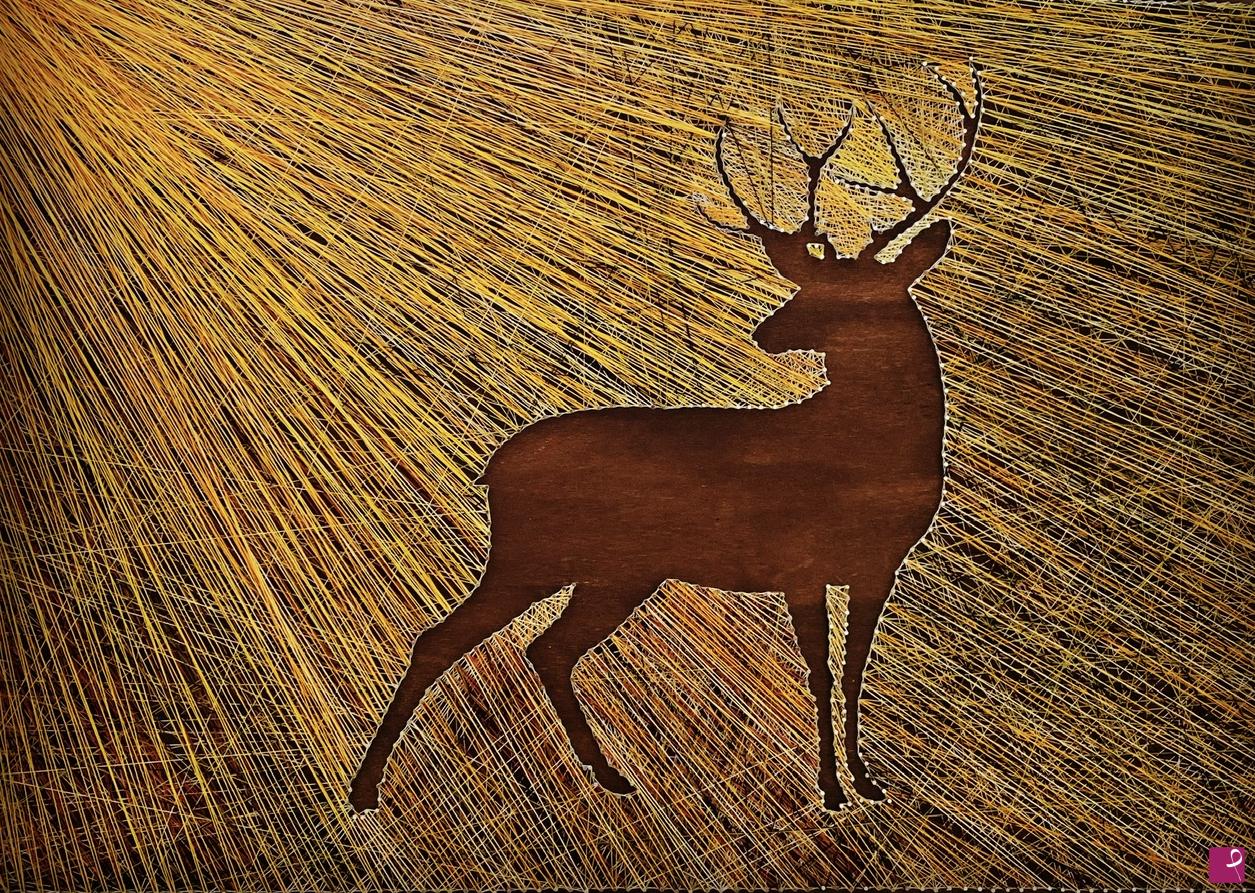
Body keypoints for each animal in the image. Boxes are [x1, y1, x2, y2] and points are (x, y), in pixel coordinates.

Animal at [350, 62, 983, 813]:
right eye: (808, 285)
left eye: (852, 293)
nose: (765, 331)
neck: (873, 454)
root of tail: (492, 467)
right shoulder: (798, 560)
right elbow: (821, 671)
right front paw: (831, 788)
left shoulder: (877, 565)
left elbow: (856, 669)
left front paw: (865, 781)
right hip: (532, 554)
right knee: (438, 639)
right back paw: (365, 787)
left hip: (616, 570)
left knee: (548, 648)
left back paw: (610, 774)